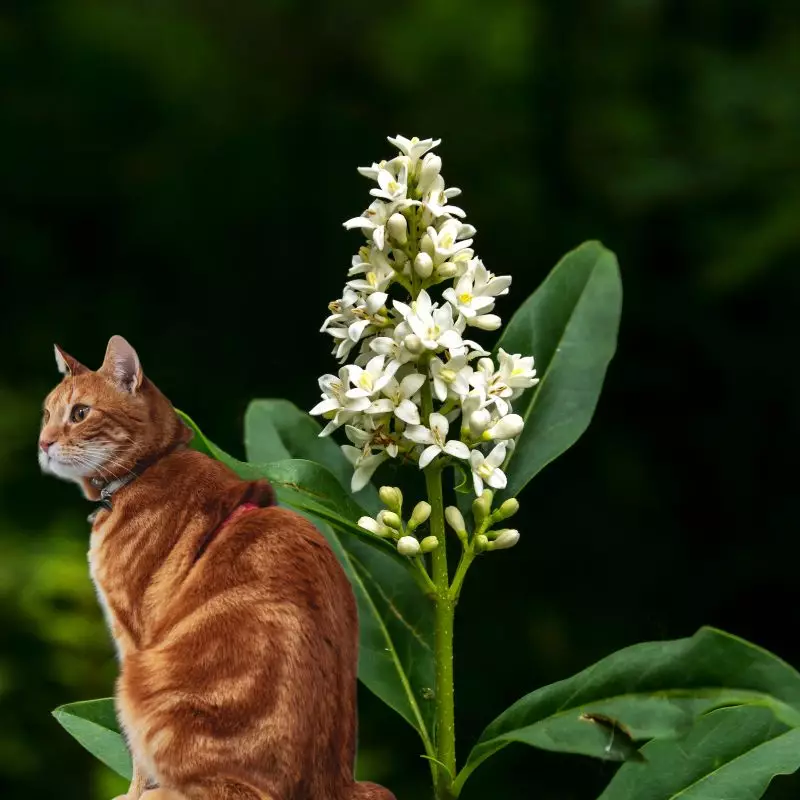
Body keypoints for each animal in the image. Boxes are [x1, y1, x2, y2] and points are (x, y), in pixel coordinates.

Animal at [40, 336, 396, 800]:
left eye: (80, 413)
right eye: (47, 413)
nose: (43, 444)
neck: (147, 468)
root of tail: (334, 786)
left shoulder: (133, 636)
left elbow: (136, 756)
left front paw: (134, 793)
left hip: (141, 681)